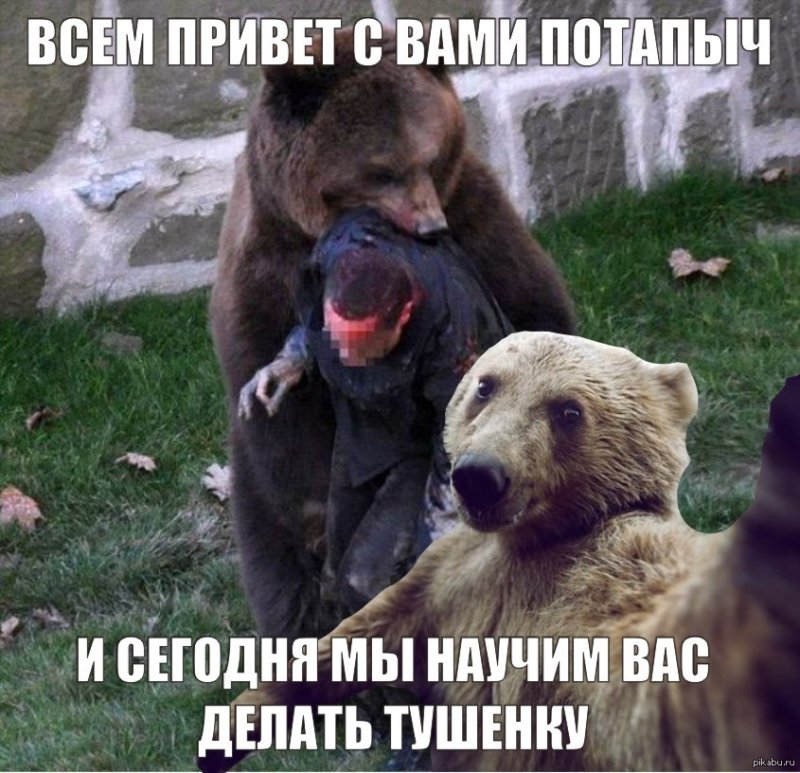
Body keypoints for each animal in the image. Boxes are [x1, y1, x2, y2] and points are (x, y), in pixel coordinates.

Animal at [199, 333, 800, 772]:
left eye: (568, 410)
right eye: (486, 386)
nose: (479, 476)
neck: (532, 540)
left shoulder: (583, 602)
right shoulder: (448, 578)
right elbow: (355, 640)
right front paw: (225, 734)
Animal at [210, 27, 577, 639]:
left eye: (429, 157)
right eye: (381, 169)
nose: (430, 226)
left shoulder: (480, 226)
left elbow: (538, 326)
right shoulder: (265, 278)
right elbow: (287, 430)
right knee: (277, 564)